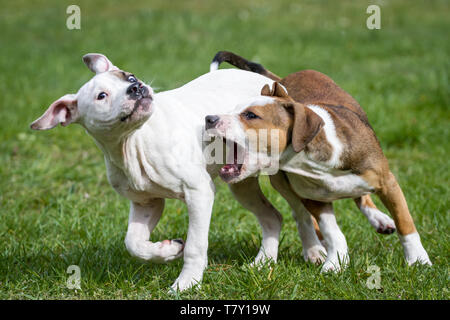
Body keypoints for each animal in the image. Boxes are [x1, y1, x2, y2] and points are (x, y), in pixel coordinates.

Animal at [207, 69, 432, 270]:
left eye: (251, 115)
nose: (209, 119)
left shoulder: (387, 182)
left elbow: (404, 222)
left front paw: (418, 260)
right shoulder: (313, 199)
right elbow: (332, 231)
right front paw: (335, 262)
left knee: (361, 197)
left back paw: (380, 219)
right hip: (282, 183)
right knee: (302, 215)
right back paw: (315, 247)